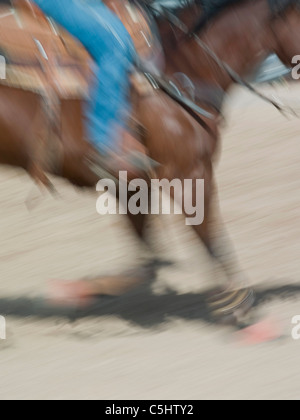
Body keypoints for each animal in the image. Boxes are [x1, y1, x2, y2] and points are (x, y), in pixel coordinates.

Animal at [0, 0, 296, 322]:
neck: (181, 69)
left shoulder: (132, 184)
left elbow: (147, 259)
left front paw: (82, 291)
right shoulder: (186, 173)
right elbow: (209, 237)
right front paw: (237, 304)